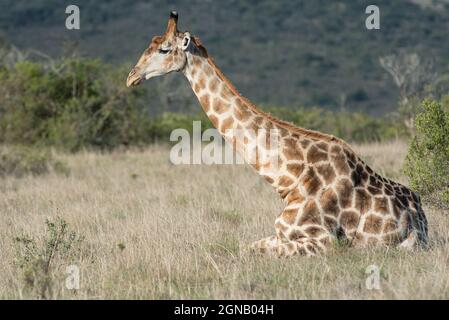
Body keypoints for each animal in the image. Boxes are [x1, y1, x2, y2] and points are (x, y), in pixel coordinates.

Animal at [126, 11, 428, 258]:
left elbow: (254, 249)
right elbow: (248, 246)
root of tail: (420, 219)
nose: (131, 76)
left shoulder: (324, 241)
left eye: (164, 49)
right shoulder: (281, 231)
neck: (290, 179)